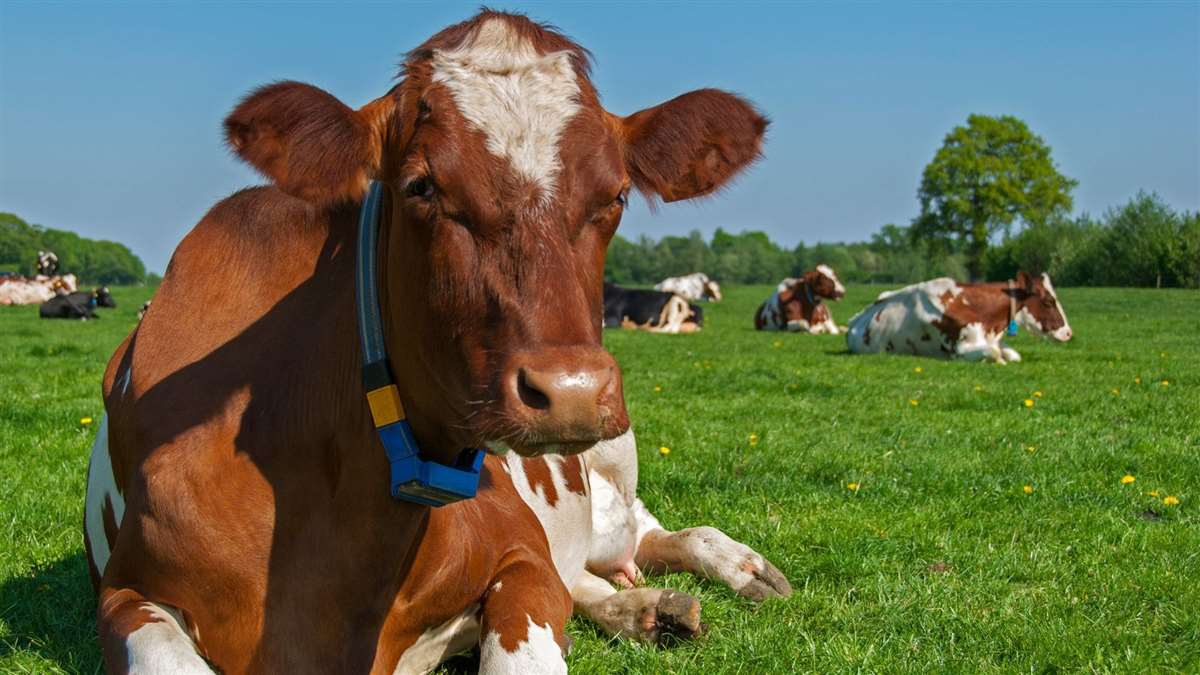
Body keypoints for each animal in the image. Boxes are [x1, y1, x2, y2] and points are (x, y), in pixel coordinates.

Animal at [83, 11, 782, 674]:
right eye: (421, 186)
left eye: (616, 195)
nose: (573, 392)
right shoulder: (126, 593)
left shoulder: (522, 553)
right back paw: (646, 609)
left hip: (614, 466)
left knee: (647, 532)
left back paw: (740, 567)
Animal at [845, 271, 1072, 363]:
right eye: (1049, 301)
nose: (1068, 333)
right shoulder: (960, 349)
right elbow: (995, 354)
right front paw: (999, 361)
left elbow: (1012, 354)